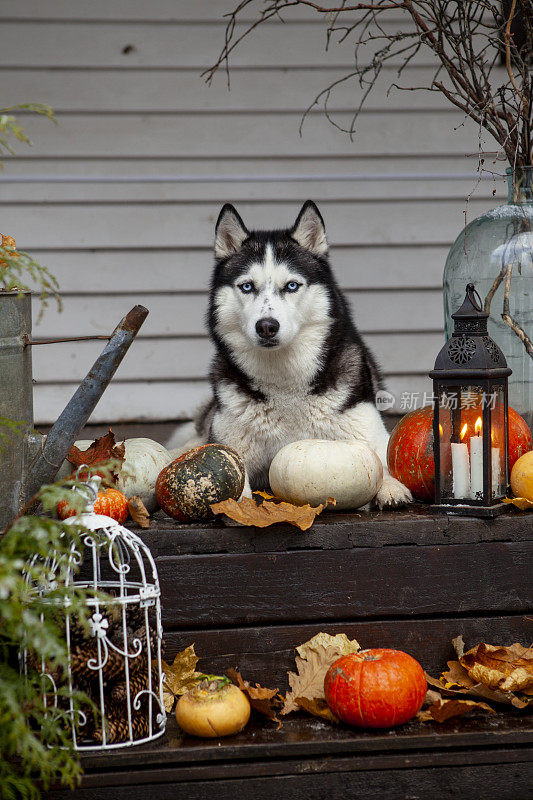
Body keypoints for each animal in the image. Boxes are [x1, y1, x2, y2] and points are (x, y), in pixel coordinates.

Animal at [195, 203, 412, 510]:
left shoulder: (368, 431)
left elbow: (384, 461)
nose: (267, 326)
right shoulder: (228, 445)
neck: (285, 383)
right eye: (247, 286)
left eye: (291, 286)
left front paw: (390, 486)